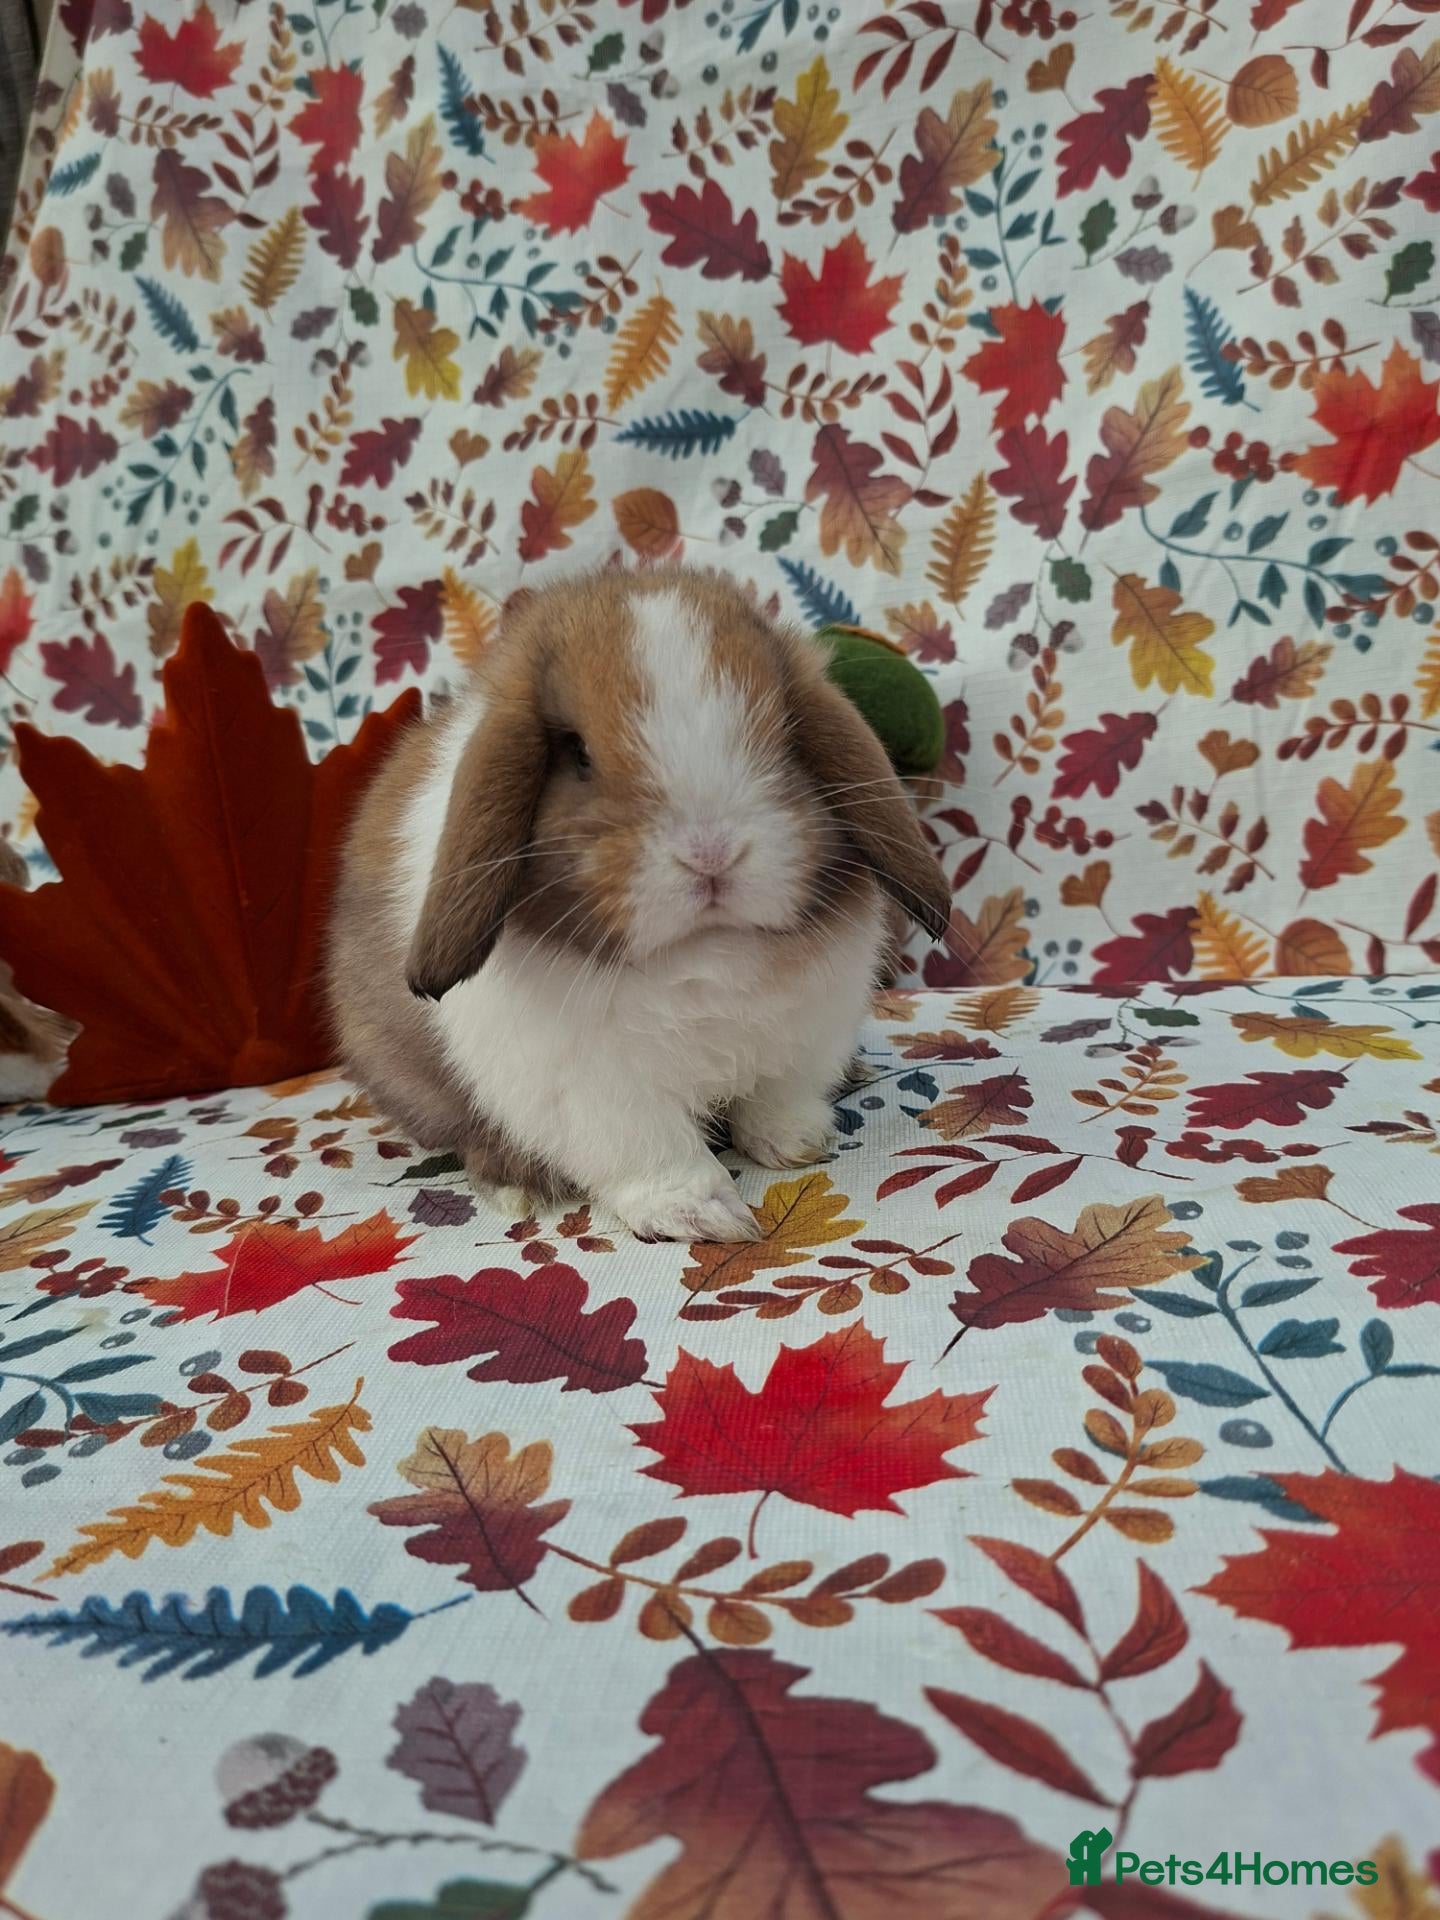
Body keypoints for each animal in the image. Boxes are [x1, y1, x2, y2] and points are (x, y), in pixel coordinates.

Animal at [327, 567, 949, 1243]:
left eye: (786, 733)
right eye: (577, 752)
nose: (711, 853)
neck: (703, 953)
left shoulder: (804, 1035)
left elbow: (776, 1100)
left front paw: (798, 1142)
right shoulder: (590, 1088)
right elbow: (651, 1149)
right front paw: (705, 1216)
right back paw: (521, 1185)